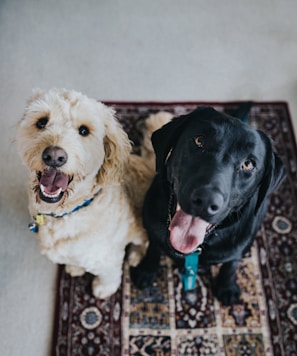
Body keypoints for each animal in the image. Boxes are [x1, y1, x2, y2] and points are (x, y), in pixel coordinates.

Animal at [17, 88, 172, 298]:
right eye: (42, 122)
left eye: (84, 131)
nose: (54, 156)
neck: (69, 211)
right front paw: (75, 268)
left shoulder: (107, 258)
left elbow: (109, 276)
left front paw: (103, 289)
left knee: (144, 242)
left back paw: (135, 256)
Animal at [130, 105, 284, 306]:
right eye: (199, 141)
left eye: (248, 164)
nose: (206, 201)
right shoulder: (152, 226)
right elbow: (154, 247)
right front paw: (147, 269)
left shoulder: (238, 246)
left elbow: (231, 264)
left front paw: (227, 286)